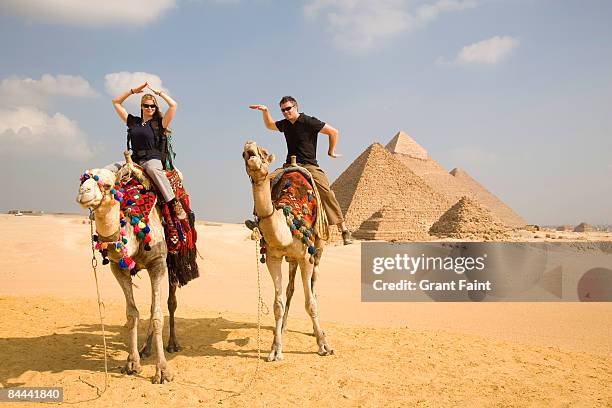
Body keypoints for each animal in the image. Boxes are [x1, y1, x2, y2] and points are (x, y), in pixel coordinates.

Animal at [76, 158, 176, 384]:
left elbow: (157, 316)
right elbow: (132, 314)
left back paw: (173, 344)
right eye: (83, 179)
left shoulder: (158, 262)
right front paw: (132, 363)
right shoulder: (117, 266)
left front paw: (162, 371)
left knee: (171, 303)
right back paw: (146, 349)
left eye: (108, 185)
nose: (83, 192)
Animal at [241, 141, 332, 360]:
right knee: (291, 287)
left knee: (314, 286)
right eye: (242, 154)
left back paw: (317, 331)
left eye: (264, 152)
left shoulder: (306, 256)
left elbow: (310, 303)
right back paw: (283, 327)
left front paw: (323, 345)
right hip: (291, 259)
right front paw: (275, 349)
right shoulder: (273, 256)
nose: (250, 147)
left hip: (318, 249)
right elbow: (278, 304)